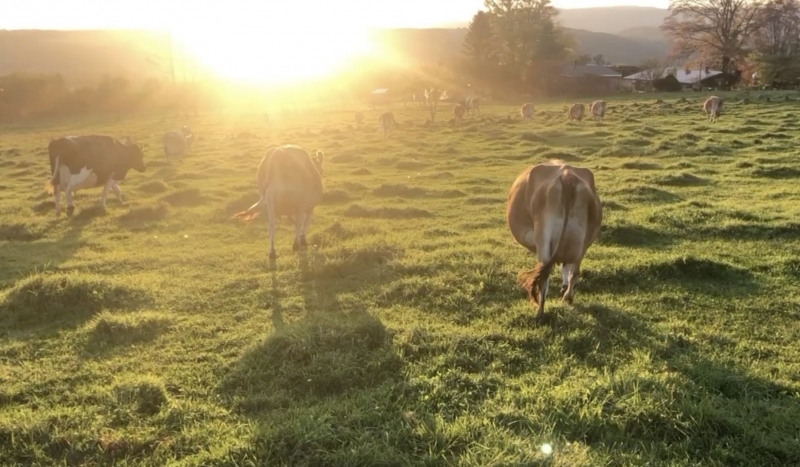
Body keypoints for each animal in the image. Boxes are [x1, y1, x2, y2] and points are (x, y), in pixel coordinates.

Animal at [510, 161, 604, 322]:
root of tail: (567, 175)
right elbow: (565, 268)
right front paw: (563, 287)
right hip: (585, 240)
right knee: (575, 271)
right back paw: (568, 297)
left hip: (543, 235)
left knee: (544, 276)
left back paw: (540, 312)